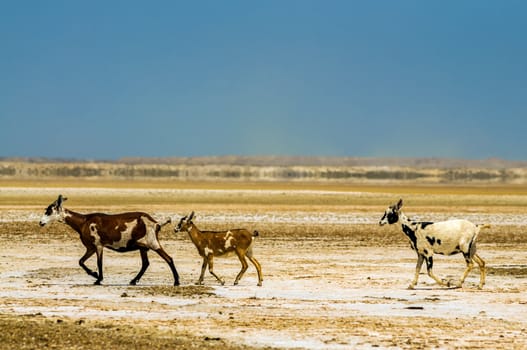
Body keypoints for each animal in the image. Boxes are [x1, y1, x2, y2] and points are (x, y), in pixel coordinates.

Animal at [38, 196, 179, 286]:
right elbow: (81, 261)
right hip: (143, 247)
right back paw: (133, 281)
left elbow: (99, 262)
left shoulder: (98, 245)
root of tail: (156, 223)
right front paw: (94, 274)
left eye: (49, 211)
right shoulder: (90, 248)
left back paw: (176, 281)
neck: (84, 221)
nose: (40, 222)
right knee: (145, 263)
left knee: (169, 259)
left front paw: (98, 279)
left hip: (152, 243)